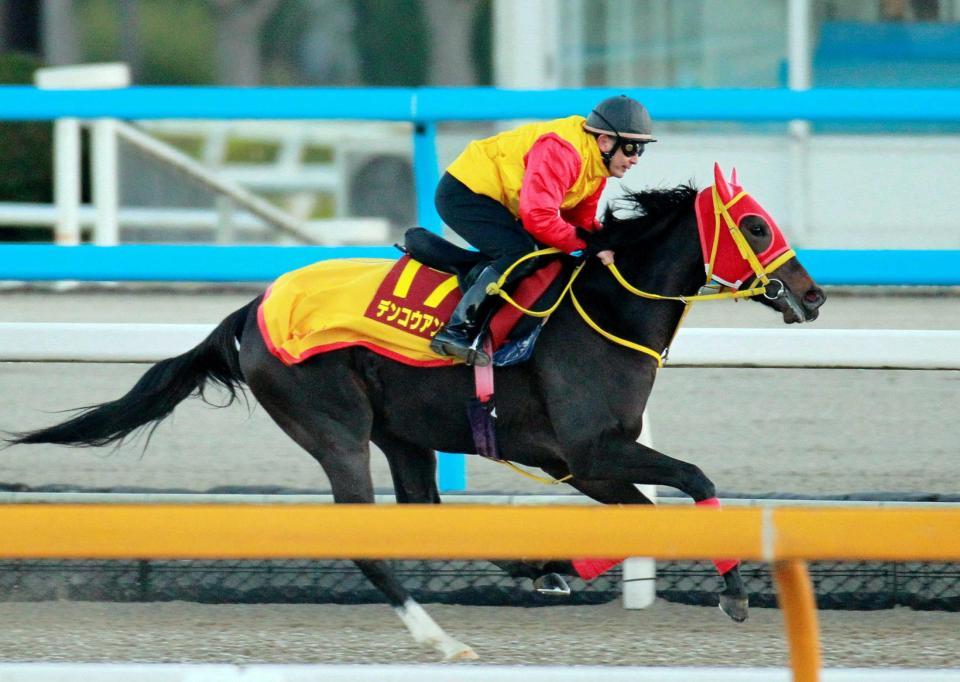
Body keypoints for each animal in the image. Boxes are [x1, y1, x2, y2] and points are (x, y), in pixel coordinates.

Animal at [7, 166, 824, 660]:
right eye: (755, 225)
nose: (813, 296)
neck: (603, 312)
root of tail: (250, 311)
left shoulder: (586, 466)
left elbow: (649, 514)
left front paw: (560, 566)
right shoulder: (591, 453)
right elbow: (691, 481)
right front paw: (735, 593)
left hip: (403, 436)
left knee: (424, 515)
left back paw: (528, 572)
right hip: (336, 430)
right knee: (371, 544)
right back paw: (444, 640)